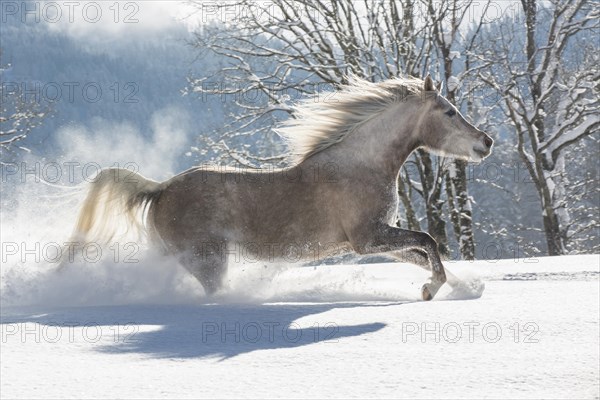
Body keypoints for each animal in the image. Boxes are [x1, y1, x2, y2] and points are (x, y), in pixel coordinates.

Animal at [70, 75, 492, 300]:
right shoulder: (368, 238)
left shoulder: (376, 241)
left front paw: (463, 288)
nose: (485, 143)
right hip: (208, 261)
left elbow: (421, 253)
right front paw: (432, 289)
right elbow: (428, 241)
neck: (360, 165)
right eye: (449, 112)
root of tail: (160, 189)